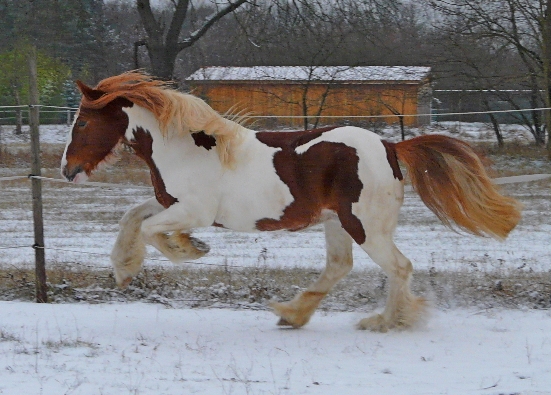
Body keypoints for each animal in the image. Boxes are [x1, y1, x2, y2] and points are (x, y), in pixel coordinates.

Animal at [61, 71, 520, 332]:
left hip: (364, 226)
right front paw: (124, 268)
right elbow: (133, 215)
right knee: (340, 266)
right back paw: (292, 314)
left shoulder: (194, 211)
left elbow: (151, 231)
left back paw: (387, 322)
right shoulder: (170, 202)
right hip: (336, 222)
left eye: (82, 122)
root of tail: (391, 147)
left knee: (399, 267)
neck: (184, 148)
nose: (68, 170)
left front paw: (189, 248)